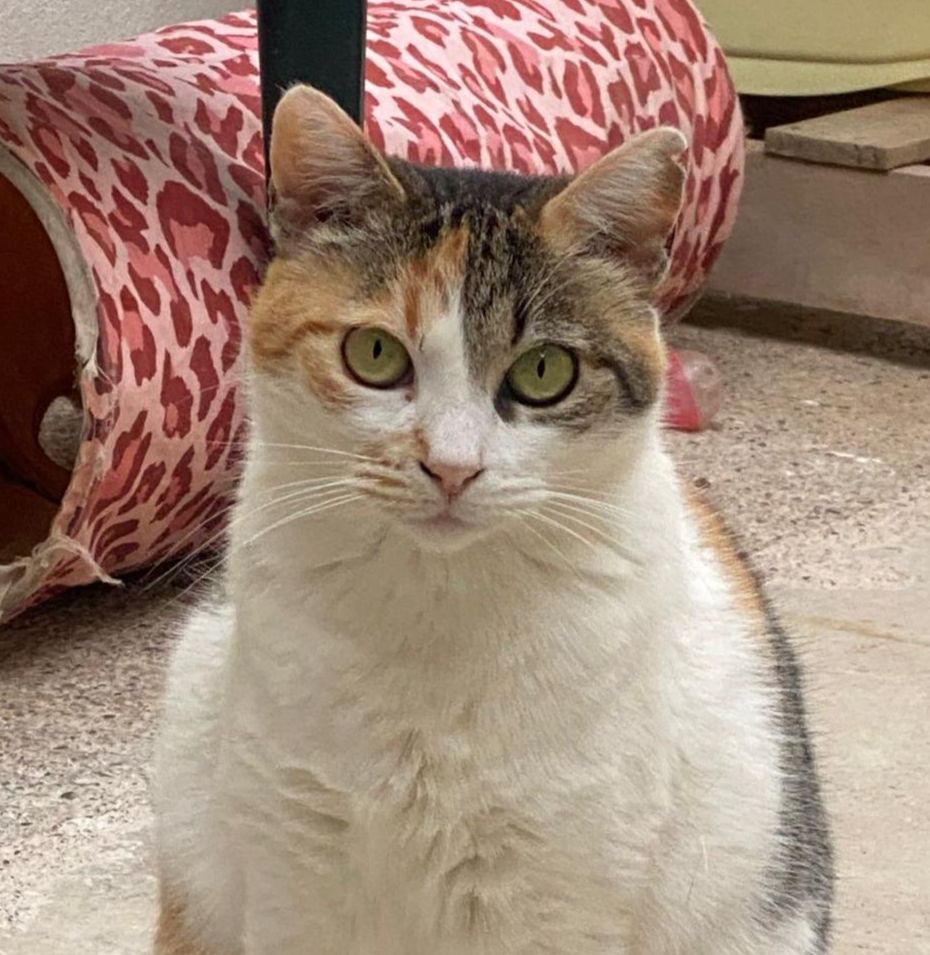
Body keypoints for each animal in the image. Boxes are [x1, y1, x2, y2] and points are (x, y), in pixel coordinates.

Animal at [153, 85, 833, 955]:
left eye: (544, 371)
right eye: (375, 354)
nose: (451, 465)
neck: (432, 615)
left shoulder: (549, 882)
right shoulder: (294, 855)